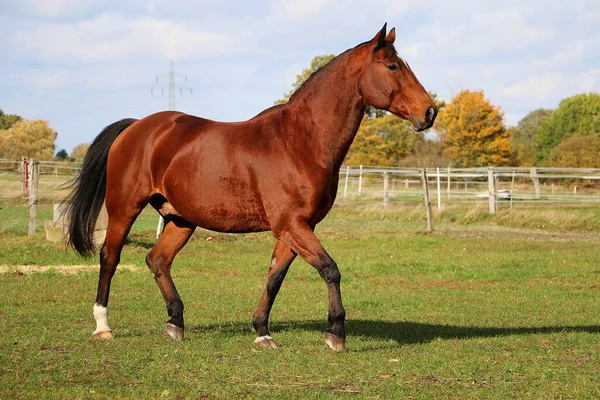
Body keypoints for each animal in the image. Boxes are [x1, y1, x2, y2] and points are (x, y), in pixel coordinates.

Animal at [67, 23, 436, 352]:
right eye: (393, 66)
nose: (429, 111)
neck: (300, 141)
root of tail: (137, 127)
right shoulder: (291, 224)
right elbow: (330, 270)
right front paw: (335, 333)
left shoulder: (295, 227)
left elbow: (274, 278)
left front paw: (262, 332)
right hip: (124, 208)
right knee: (110, 256)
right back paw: (103, 326)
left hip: (181, 219)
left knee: (158, 260)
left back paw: (175, 323)